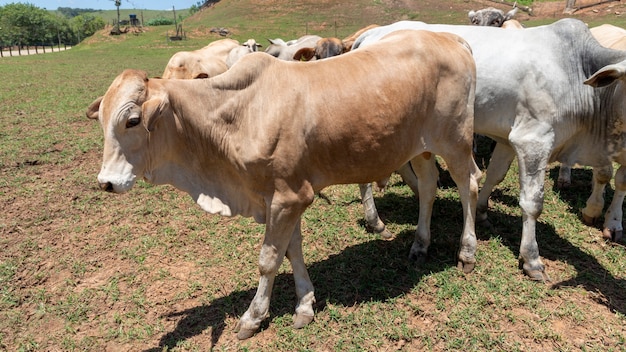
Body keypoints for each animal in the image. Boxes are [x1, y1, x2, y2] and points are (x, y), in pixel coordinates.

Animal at [86, 31, 478, 340]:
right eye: (102, 119)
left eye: (132, 119)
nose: (107, 182)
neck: (235, 115)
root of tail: (452, 38)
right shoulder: (279, 197)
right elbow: (292, 251)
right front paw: (305, 303)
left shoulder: (289, 197)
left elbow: (269, 259)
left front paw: (253, 316)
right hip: (422, 147)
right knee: (428, 186)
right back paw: (420, 245)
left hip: (456, 141)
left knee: (468, 186)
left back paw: (467, 252)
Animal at [354, 20, 624, 282]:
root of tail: (372, 33)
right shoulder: (533, 140)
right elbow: (532, 203)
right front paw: (532, 259)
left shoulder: (508, 140)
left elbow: (495, 175)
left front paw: (482, 211)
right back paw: (376, 221)